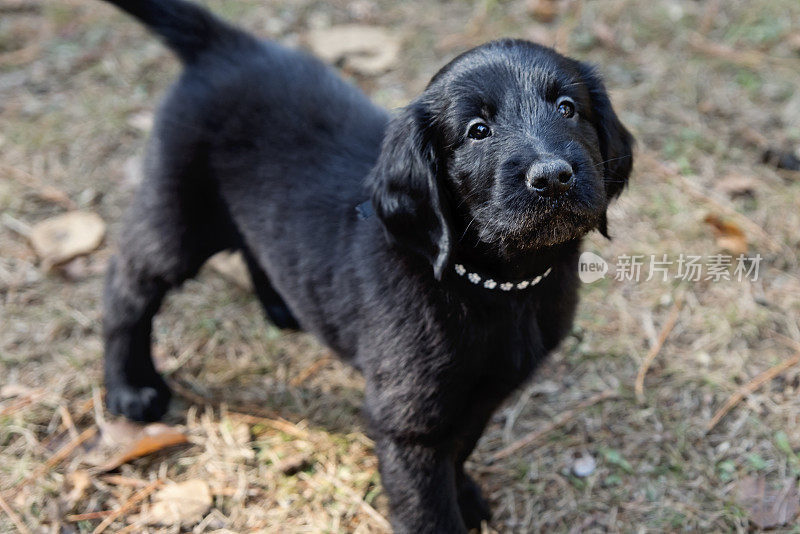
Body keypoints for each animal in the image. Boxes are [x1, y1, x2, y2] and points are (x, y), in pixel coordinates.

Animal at [101, 2, 632, 532]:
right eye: (478, 131)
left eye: (567, 108)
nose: (553, 175)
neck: (500, 284)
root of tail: (226, 44)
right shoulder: (408, 419)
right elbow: (426, 506)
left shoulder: (485, 391)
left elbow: (461, 447)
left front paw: (463, 493)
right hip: (177, 216)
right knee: (127, 284)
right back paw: (130, 387)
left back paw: (283, 307)